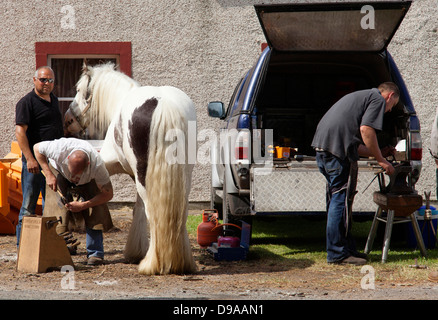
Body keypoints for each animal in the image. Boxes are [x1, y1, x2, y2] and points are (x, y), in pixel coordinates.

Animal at [64, 63, 196, 276]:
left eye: (78, 90)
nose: (68, 120)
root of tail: (163, 104)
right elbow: (138, 209)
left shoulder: (106, 165)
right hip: (184, 175)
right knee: (179, 212)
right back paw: (181, 260)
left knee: (154, 213)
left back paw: (152, 264)